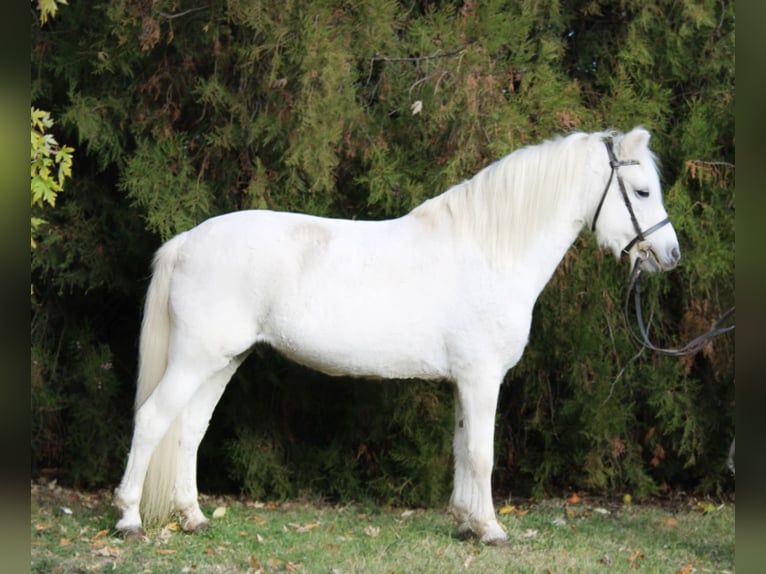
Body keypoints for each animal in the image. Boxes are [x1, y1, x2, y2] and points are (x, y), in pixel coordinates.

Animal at [114, 127, 680, 545]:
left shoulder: (466, 381)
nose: (671, 255)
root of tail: (188, 240)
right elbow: (482, 454)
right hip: (194, 358)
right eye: (643, 192)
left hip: (223, 360)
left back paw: (193, 518)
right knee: (153, 420)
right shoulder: (482, 378)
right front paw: (492, 530)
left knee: (189, 430)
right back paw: (128, 520)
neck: (491, 248)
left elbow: (461, 450)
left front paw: (465, 523)